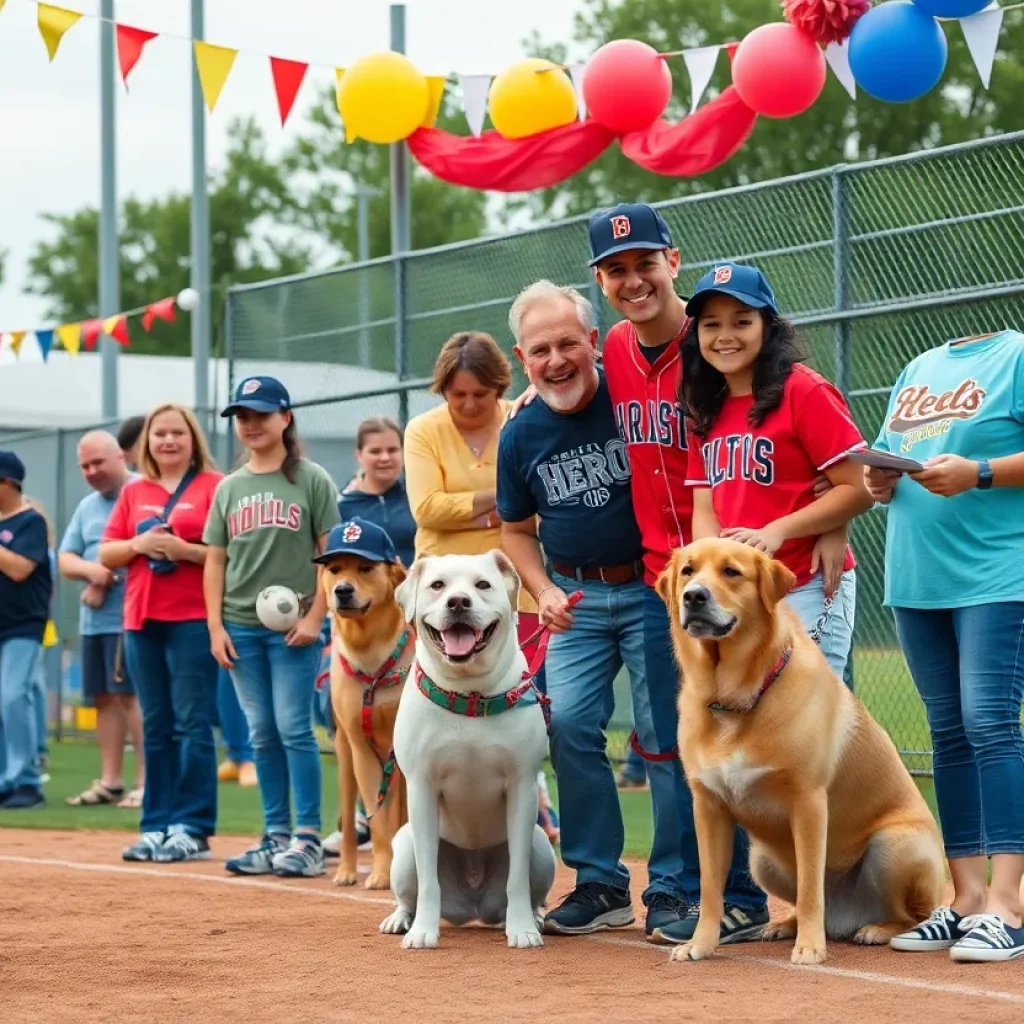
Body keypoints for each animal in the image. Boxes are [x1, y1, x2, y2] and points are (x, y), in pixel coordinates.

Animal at [315, 519, 412, 890]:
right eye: (334, 569)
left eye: (366, 568)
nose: (342, 590)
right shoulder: (362, 751)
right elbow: (379, 823)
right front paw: (382, 873)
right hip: (345, 757)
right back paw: (346, 870)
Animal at [379, 549, 557, 950]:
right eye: (437, 585)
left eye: (482, 585)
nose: (458, 602)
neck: (470, 695)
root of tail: (474, 908)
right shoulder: (422, 788)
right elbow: (428, 880)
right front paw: (422, 933)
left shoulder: (522, 788)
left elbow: (517, 878)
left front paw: (522, 929)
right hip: (403, 846)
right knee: (408, 893)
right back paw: (400, 919)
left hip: (542, 846)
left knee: (532, 886)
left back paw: (537, 919)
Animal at [655, 538, 944, 966]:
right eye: (688, 571)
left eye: (731, 571)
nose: (693, 596)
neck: (734, 702)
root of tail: (845, 919)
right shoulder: (708, 808)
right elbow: (710, 890)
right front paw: (700, 944)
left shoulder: (808, 804)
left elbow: (811, 887)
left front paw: (809, 947)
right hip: (761, 860)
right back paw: (784, 925)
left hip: (896, 846)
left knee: (915, 915)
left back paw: (876, 930)